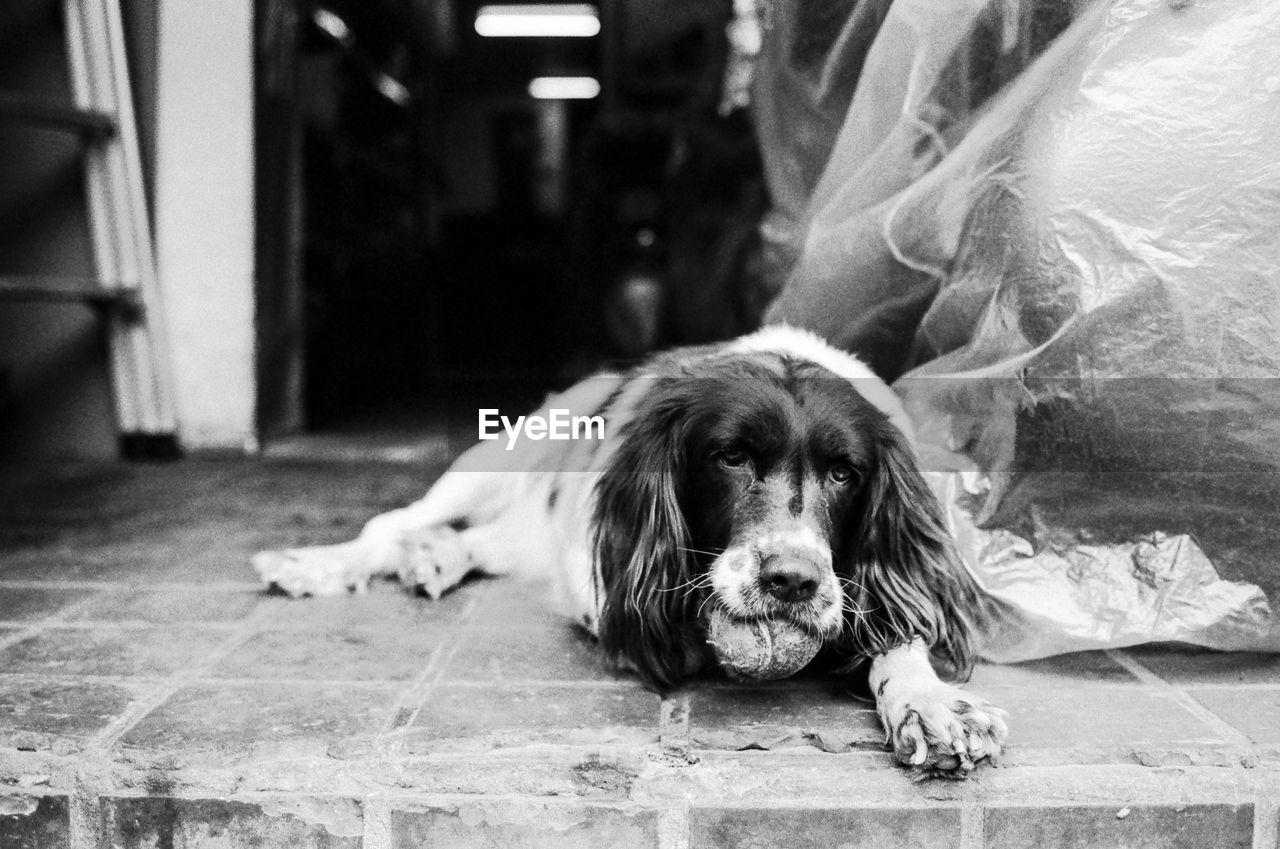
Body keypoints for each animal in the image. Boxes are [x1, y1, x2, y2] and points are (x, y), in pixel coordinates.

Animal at [254, 327, 1003, 778]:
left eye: (845, 473)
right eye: (730, 456)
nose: (791, 581)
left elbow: (898, 633)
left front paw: (932, 705)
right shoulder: (604, 583)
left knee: (475, 542)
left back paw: (434, 558)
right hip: (493, 457)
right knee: (393, 522)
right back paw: (322, 563)